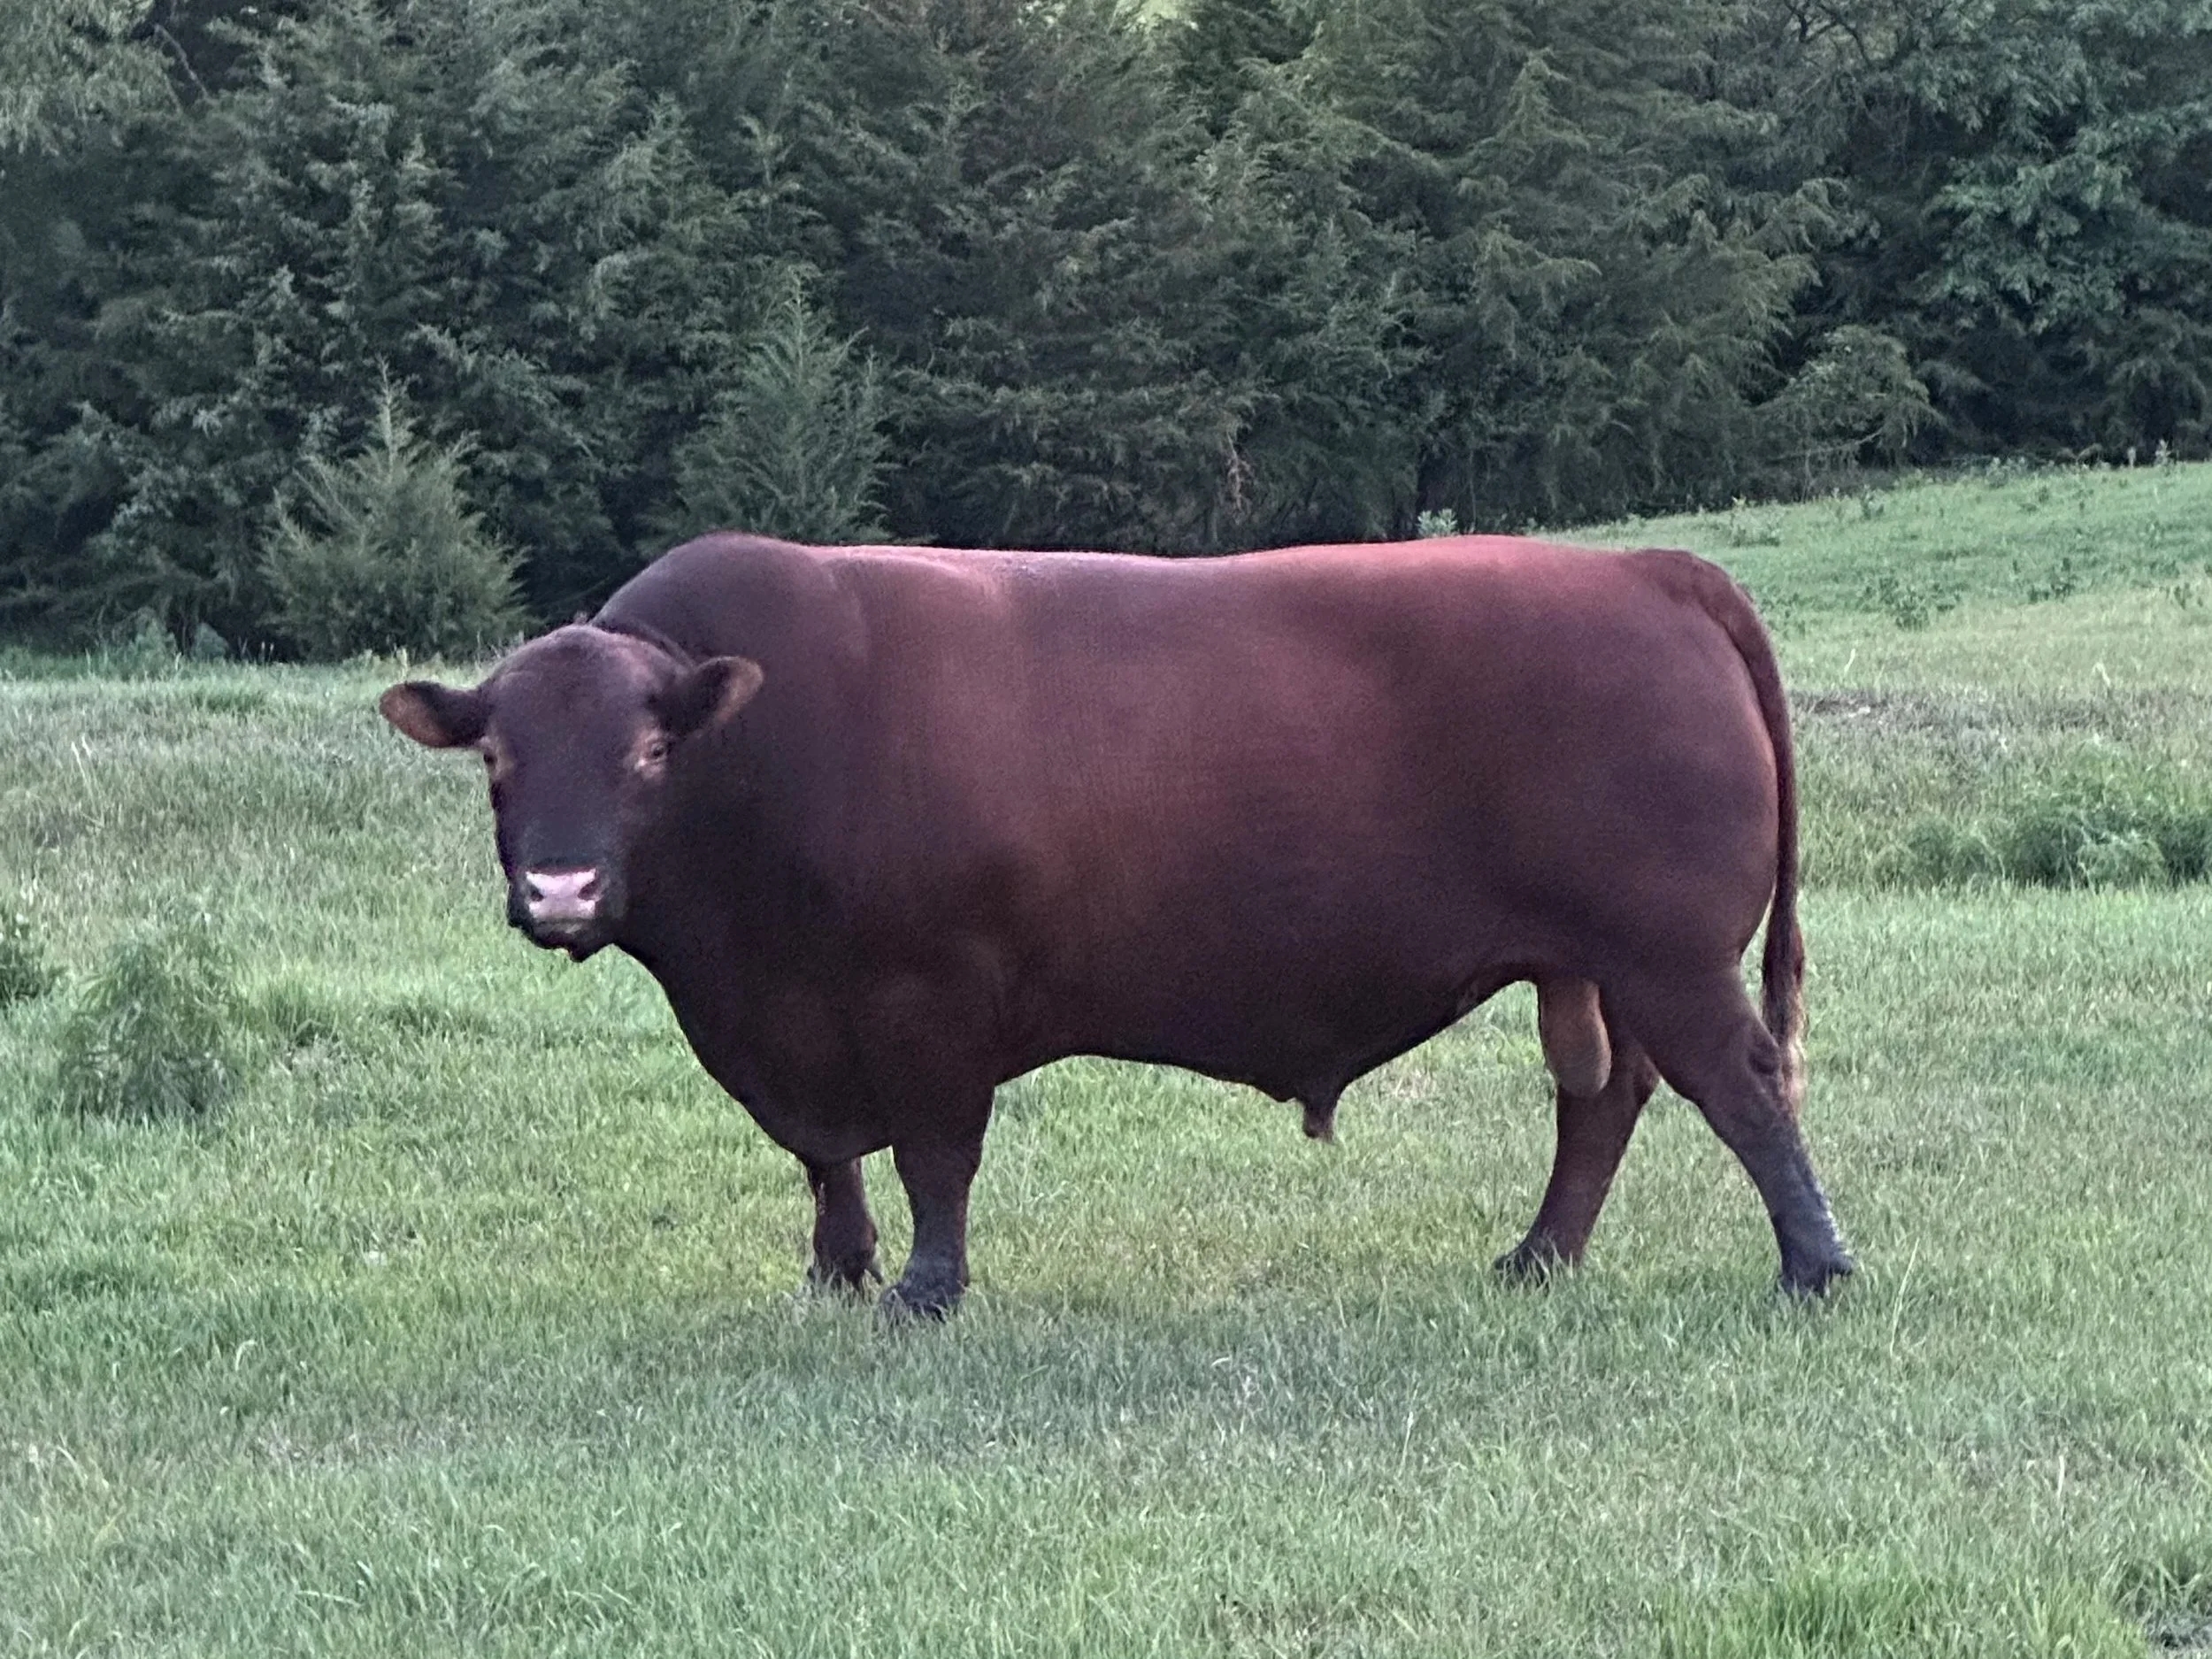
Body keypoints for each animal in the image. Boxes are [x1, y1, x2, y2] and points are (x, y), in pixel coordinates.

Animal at [380, 532, 1853, 1317]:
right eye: (497, 759)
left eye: (645, 755)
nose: (561, 890)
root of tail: (1644, 568)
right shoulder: (796, 1018)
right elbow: (826, 1157)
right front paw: (838, 1268)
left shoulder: (928, 997)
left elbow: (934, 1153)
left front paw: (924, 1288)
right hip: (1591, 965)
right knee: (1604, 1101)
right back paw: (1539, 1256)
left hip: (1667, 954)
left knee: (1742, 1085)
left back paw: (1813, 1266)